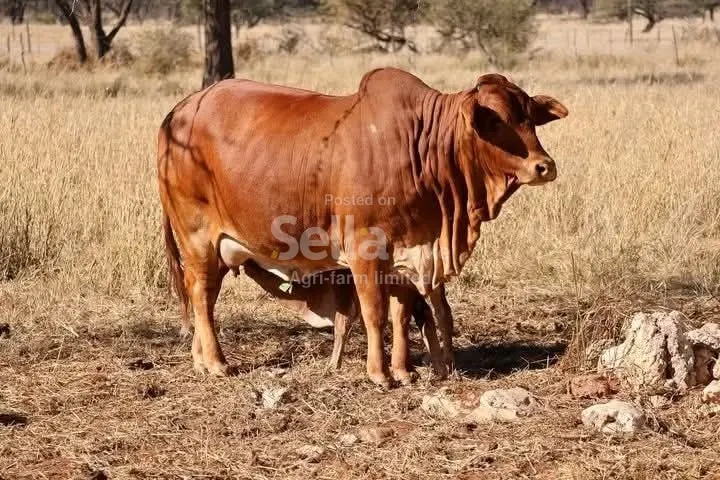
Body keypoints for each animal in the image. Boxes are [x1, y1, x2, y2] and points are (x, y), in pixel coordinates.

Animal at [157, 67, 567, 387]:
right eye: (495, 120)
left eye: (530, 117)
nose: (544, 166)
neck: (423, 146)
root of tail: (179, 111)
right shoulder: (365, 250)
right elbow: (375, 312)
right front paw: (380, 374)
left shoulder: (408, 251)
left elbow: (402, 314)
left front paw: (404, 371)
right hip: (197, 237)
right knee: (201, 294)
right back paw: (217, 363)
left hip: (220, 249)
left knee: (204, 297)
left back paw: (200, 360)